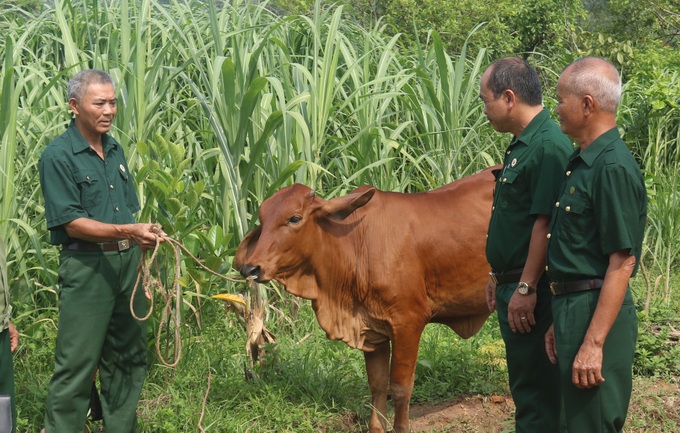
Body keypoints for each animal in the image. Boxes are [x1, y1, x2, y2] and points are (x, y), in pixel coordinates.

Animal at [236, 166, 496, 432]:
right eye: (262, 218)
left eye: (295, 218)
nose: (251, 268)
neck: (355, 246)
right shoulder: (372, 329)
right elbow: (378, 385)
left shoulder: (407, 323)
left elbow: (400, 388)